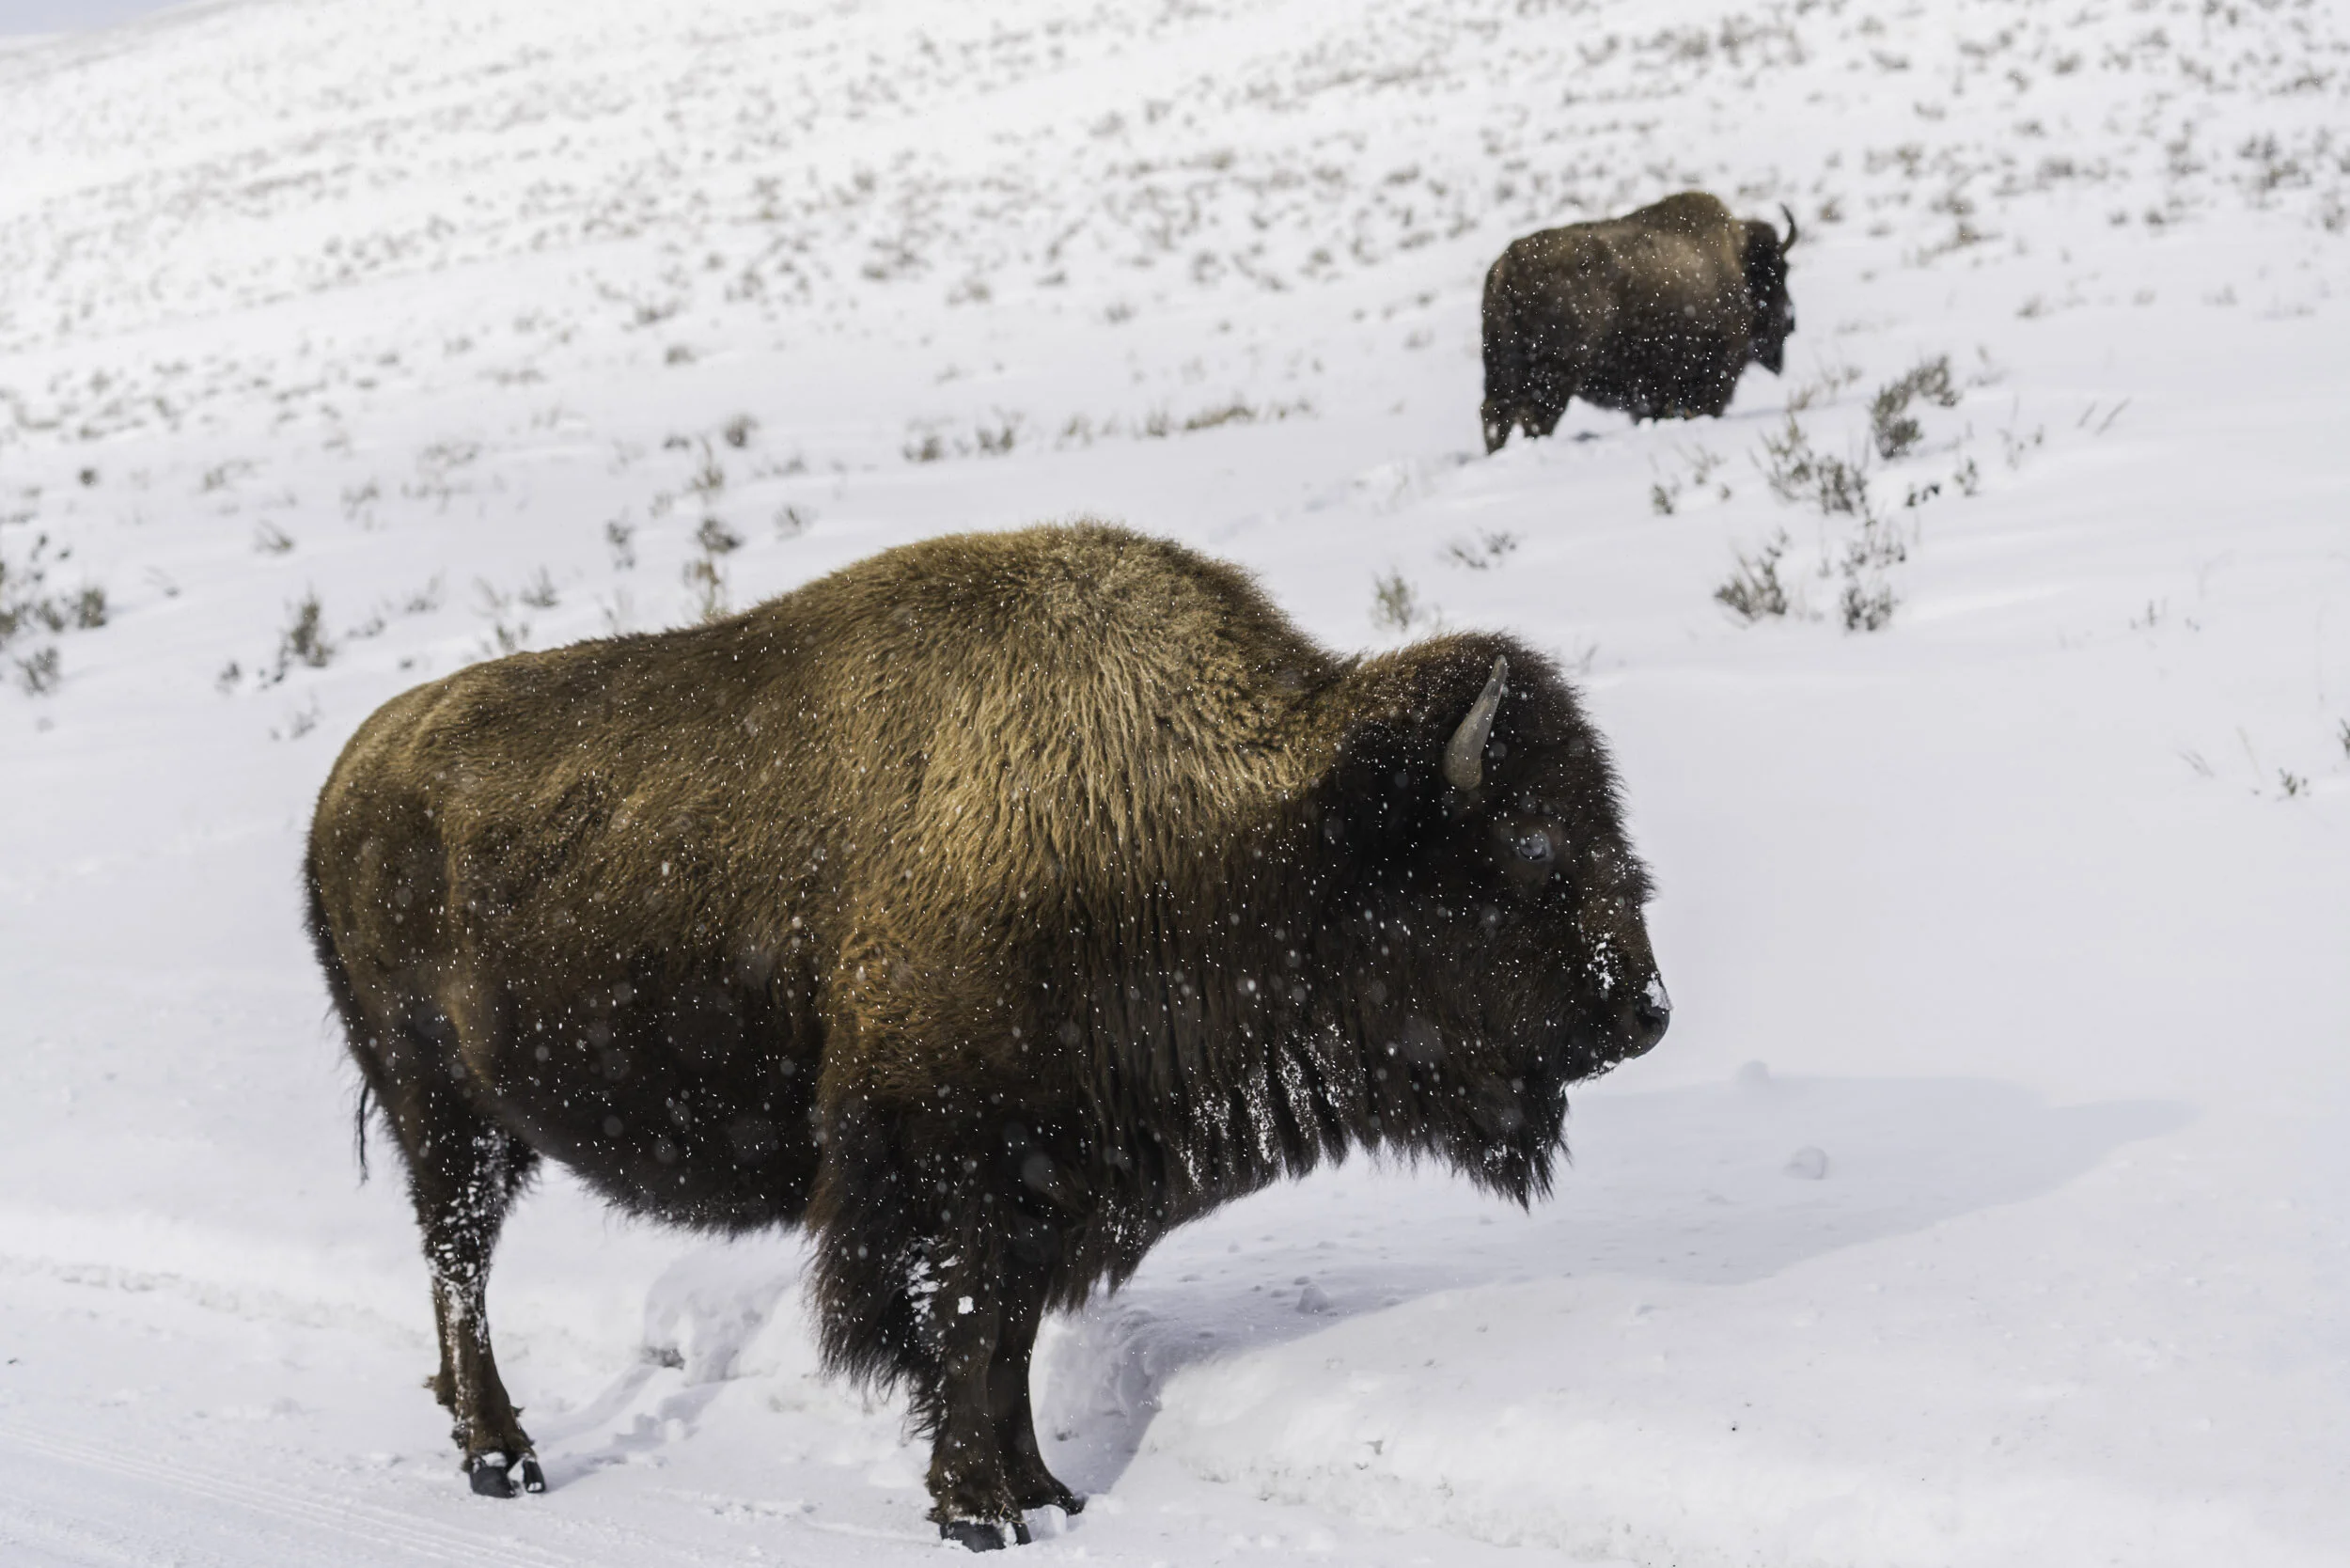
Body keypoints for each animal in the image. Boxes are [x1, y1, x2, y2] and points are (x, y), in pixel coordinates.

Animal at [306, 523, 1669, 1548]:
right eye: (1531, 843)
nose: (1645, 1011)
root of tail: (353, 772)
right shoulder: (944, 1171)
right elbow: (962, 1330)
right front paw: (979, 1512)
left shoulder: (1042, 1182)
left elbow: (1008, 1340)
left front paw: (1046, 1494)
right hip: (447, 1115)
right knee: (460, 1265)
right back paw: (502, 1458)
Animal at [1480, 190, 1798, 450]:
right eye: (1777, 274)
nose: (1792, 321)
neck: (1739, 264)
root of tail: (1507, 267)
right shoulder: (1712, 376)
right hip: (1555, 375)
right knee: (1533, 417)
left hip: (1502, 367)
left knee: (1497, 415)